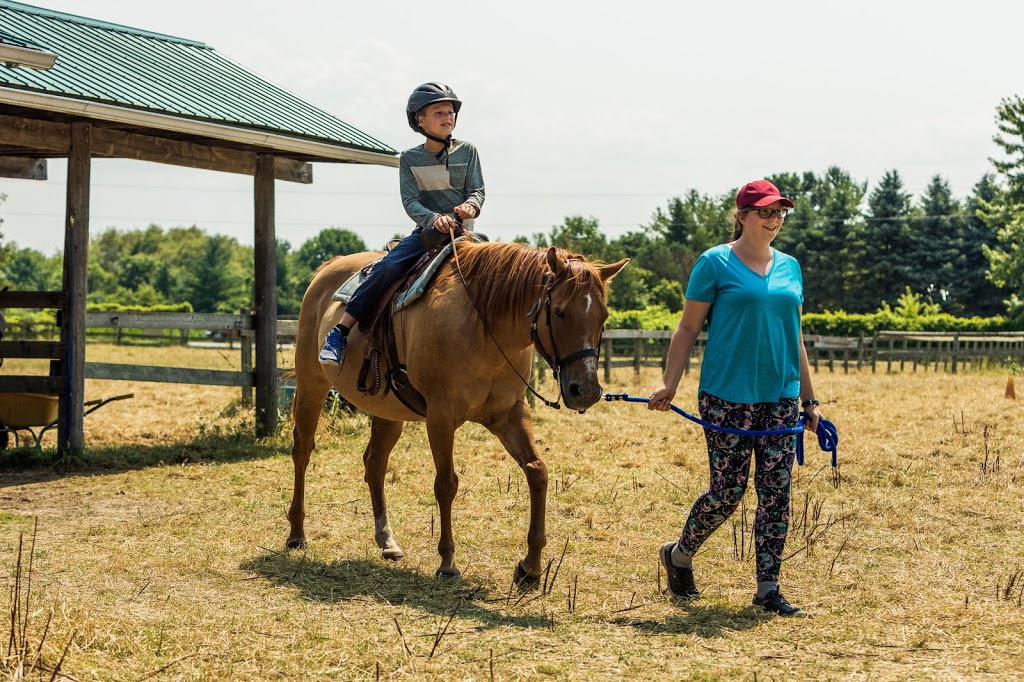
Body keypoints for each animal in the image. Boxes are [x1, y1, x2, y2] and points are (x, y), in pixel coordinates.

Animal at [287, 240, 628, 587]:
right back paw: (297, 533)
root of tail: (328, 268)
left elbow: (537, 472)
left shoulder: (510, 414)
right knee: (303, 451)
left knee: (375, 464)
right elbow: (446, 484)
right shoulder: (441, 417)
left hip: (388, 411)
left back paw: (387, 541)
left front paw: (530, 567)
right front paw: (448, 562)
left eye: (603, 315)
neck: (485, 328)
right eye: (558, 311)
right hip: (312, 385)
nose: (585, 390)